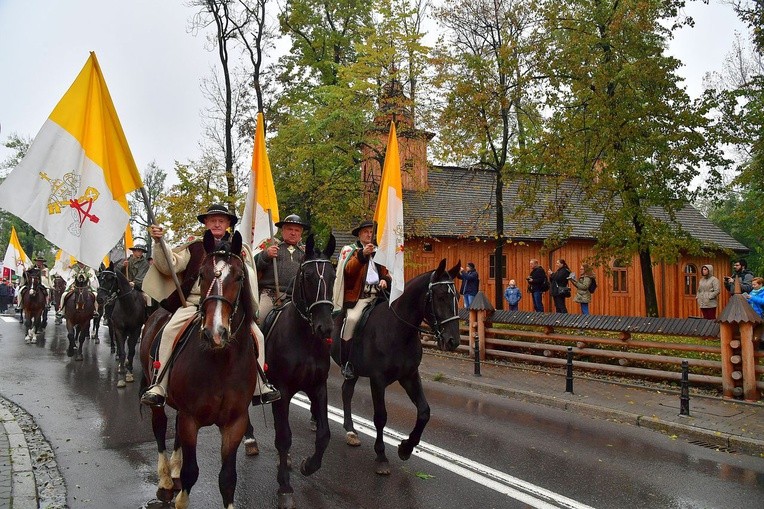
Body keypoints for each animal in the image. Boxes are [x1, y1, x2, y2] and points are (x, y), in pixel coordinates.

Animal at [137, 231, 256, 508]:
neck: (222, 363)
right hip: (158, 397)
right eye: (202, 274)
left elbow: (228, 478)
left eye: (239, 276)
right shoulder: (191, 419)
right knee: (160, 428)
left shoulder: (235, 423)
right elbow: (192, 472)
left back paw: (174, 469)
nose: (215, 333)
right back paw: (166, 478)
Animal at [328, 260, 460, 474]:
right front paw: (381, 456)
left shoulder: (410, 376)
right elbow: (381, 417)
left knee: (346, 391)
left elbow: (424, 411)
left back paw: (351, 430)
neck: (398, 330)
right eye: (440, 297)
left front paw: (406, 447)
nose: (453, 341)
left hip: (353, 371)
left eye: (457, 296)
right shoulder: (377, 380)